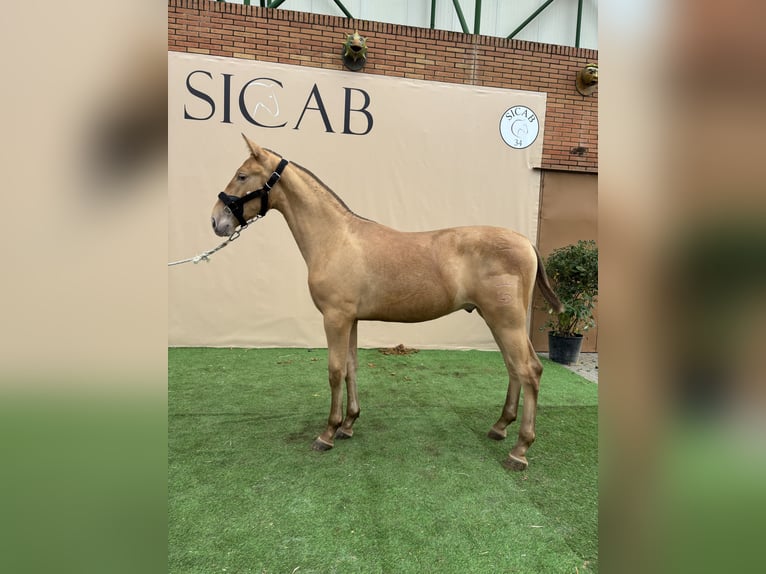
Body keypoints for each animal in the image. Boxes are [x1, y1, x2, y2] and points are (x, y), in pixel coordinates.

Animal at [210, 135, 564, 472]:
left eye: (242, 176)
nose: (216, 221)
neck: (335, 238)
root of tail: (527, 243)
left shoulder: (335, 318)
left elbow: (335, 371)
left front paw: (327, 433)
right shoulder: (350, 319)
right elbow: (351, 367)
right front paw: (348, 424)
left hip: (506, 321)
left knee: (528, 370)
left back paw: (519, 451)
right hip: (498, 320)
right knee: (515, 368)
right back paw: (500, 427)